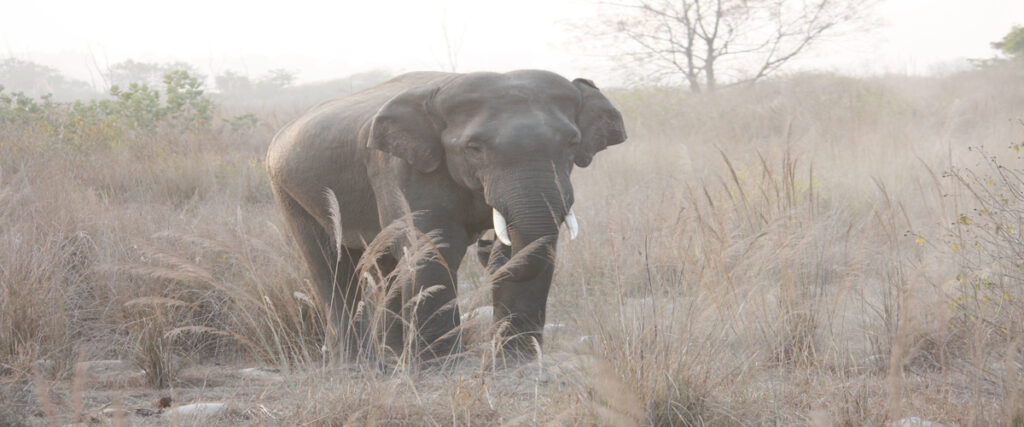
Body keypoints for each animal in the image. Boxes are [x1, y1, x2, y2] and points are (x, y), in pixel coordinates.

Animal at [264, 69, 626, 360]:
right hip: (289, 190)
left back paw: (391, 358)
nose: (487, 246)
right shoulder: (404, 168)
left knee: (388, 268)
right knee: (332, 266)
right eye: (474, 148)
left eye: (572, 142)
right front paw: (441, 366)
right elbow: (436, 247)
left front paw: (518, 362)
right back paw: (355, 363)